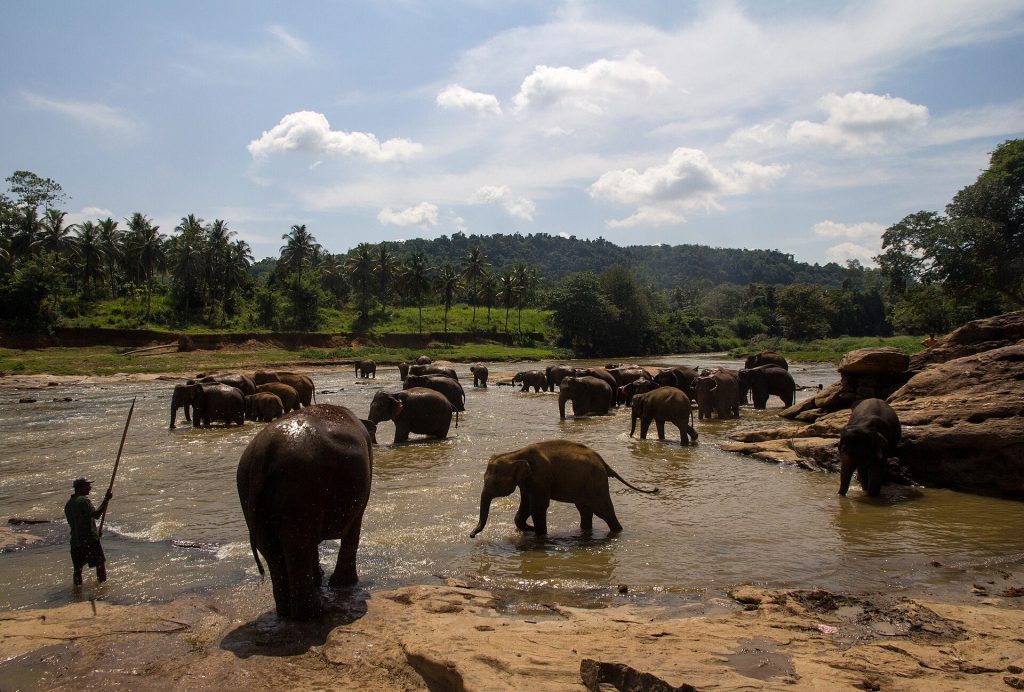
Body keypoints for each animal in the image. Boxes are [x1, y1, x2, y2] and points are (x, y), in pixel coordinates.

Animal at [237, 404, 372, 620]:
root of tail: (264, 453)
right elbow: (354, 524)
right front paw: (344, 584)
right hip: (302, 484)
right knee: (296, 542)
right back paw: (313, 612)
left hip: (252, 494)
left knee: (271, 548)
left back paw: (287, 611)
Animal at [469, 440, 658, 537]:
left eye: (496, 483)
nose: (471, 535)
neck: (515, 453)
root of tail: (603, 462)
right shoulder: (528, 482)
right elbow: (525, 507)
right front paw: (531, 530)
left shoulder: (540, 478)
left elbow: (537, 507)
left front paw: (540, 534)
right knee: (585, 509)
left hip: (596, 482)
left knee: (603, 510)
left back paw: (616, 532)